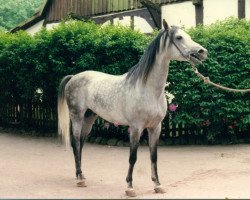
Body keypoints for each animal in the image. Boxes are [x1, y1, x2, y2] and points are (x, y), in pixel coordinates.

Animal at [58, 20, 207, 197]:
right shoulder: (136, 128)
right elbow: (133, 157)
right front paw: (129, 187)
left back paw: (81, 175)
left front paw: (157, 184)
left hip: (89, 118)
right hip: (77, 116)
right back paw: (79, 179)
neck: (148, 89)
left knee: (81, 143)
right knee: (75, 143)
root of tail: (73, 77)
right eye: (179, 37)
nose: (202, 52)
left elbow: (154, 156)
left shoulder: (155, 128)